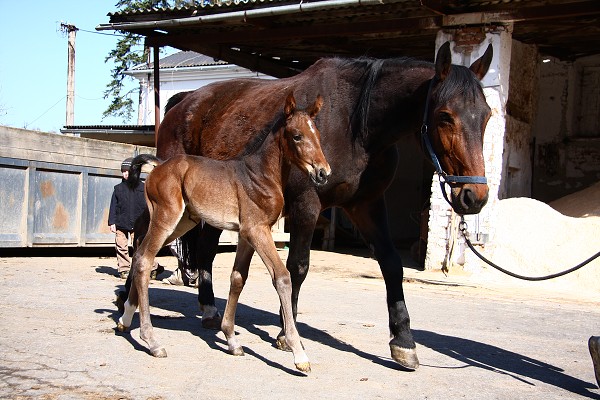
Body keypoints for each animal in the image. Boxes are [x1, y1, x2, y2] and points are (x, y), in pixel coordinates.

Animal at [116, 93, 332, 372]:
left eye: (317, 134)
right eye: (297, 136)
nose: (323, 172)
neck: (261, 175)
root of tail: (158, 165)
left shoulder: (246, 235)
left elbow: (238, 278)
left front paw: (231, 340)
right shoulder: (258, 230)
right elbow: (282, 277)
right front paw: (298, 352)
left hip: (181, 223)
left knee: (140, 252)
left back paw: (125, 318)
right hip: (166, 217)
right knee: (144, 259)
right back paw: (152, 341)